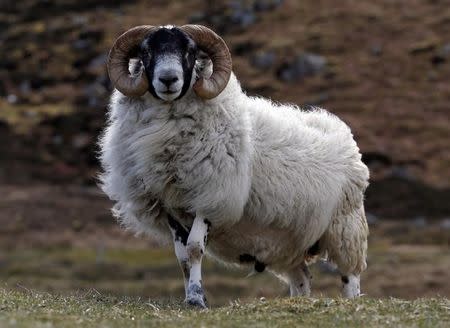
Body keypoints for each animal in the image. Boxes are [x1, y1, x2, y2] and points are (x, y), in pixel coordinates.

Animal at [100, 24, 370, 308]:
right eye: (145, 52)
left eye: (190, 51)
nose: (168, 79)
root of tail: (342, 132)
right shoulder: (170, 205)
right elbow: (182, 256)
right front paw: (190, 296)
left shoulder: (212, 196)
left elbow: (194, 249)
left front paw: (197, 299)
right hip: (287, 242)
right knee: (302, 278)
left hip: (346, 227)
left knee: (350, 275)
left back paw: (352, 302)